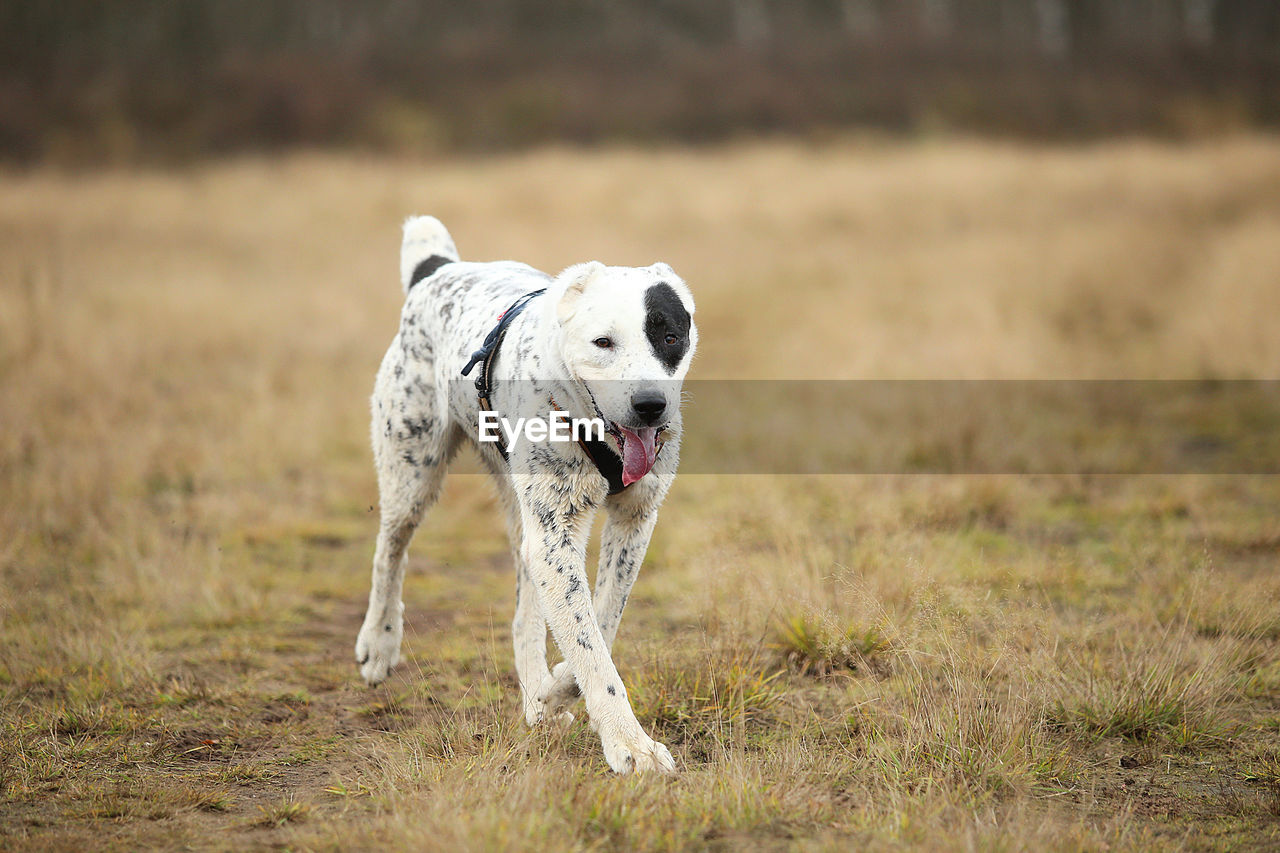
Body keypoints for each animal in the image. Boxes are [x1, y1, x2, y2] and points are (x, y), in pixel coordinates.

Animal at [358, 213, 701, 768]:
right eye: (603, 343)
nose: (651, 405)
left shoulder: (632, 521)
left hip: (521, 512)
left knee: (525, 615)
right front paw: (631, 747)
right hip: (412, 468)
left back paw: (537, 697)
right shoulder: (556, 538)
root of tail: (438, 269)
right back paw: (379, 643)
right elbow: (590, 645)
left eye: (670, 336)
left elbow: (601, 621)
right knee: (390, 548)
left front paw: (556, 690)